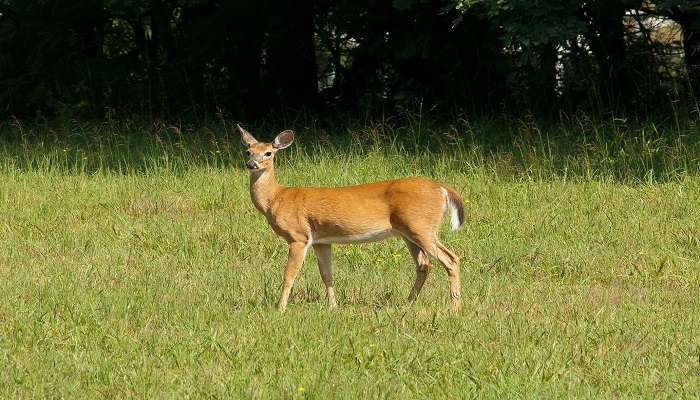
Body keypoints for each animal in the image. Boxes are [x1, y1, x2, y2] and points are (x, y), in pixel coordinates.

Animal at [241, 125, 464, 312]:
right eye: (248, 151)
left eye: (268, 153)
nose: (251, 164)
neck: (277, 198)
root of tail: (443, 189)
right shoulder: (321, 241)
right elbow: (327, 274)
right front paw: (333, 307)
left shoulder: (299, 236)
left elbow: (289, 275)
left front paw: (280, 308)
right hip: (408, 232)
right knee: (424, 265)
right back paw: (407, 303)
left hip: (421, 226)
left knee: (451, 259)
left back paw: (454, 308)